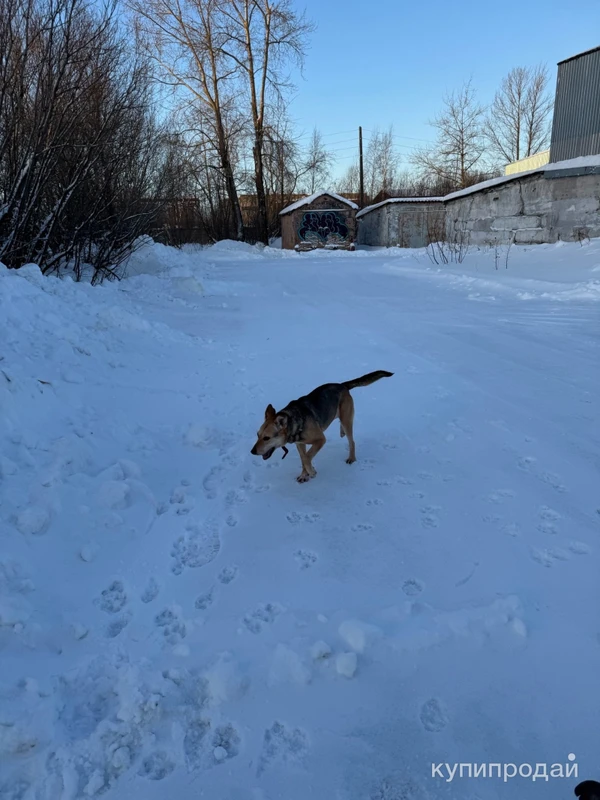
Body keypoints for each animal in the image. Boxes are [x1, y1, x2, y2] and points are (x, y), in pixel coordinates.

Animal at [250, 368, 394, 482]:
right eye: (257, 435)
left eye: (267, 438)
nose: (252, 451)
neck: (293, 421)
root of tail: (342, 386)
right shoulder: (300, 444)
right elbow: (303, 458)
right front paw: (304, 475)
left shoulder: (320, 439)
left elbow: (307, 457)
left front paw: (312, 472)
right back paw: (341, 432)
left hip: (347, 419)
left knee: (351, 441)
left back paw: (351, 458)